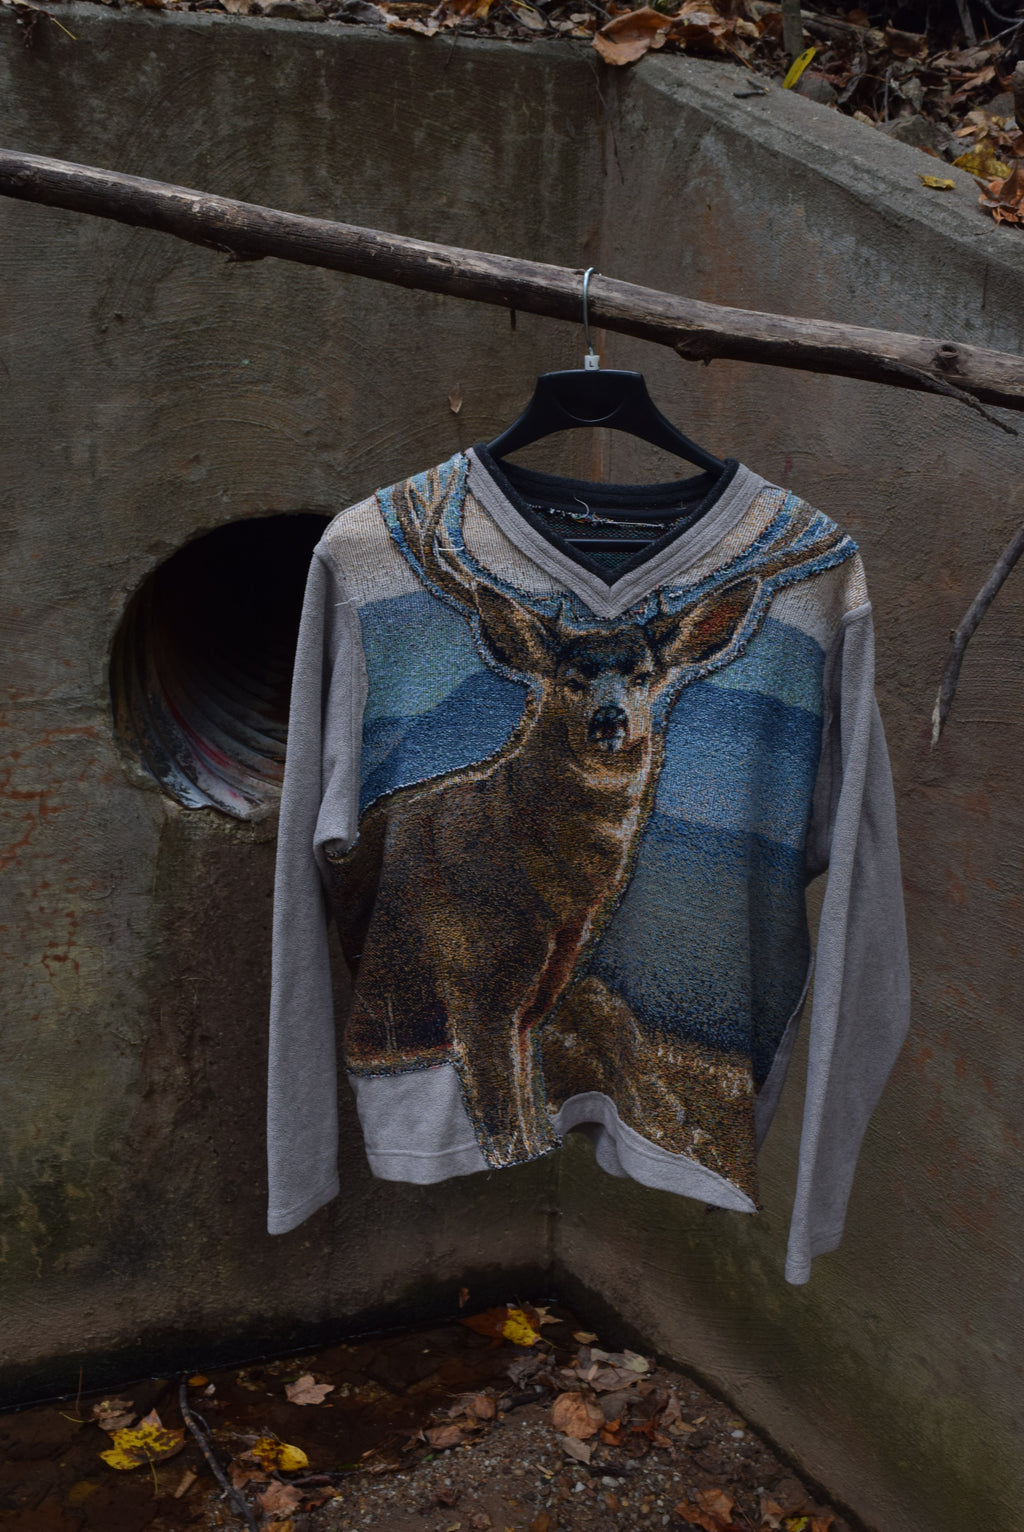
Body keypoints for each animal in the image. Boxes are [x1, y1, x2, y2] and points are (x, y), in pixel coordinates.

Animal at [326, 470, 845, 1168]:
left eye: (646, 676)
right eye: (569, 678)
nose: (609, 719)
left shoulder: (531, 1004)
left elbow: (530, 1122)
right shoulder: (473, 989)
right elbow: (504, 1135)